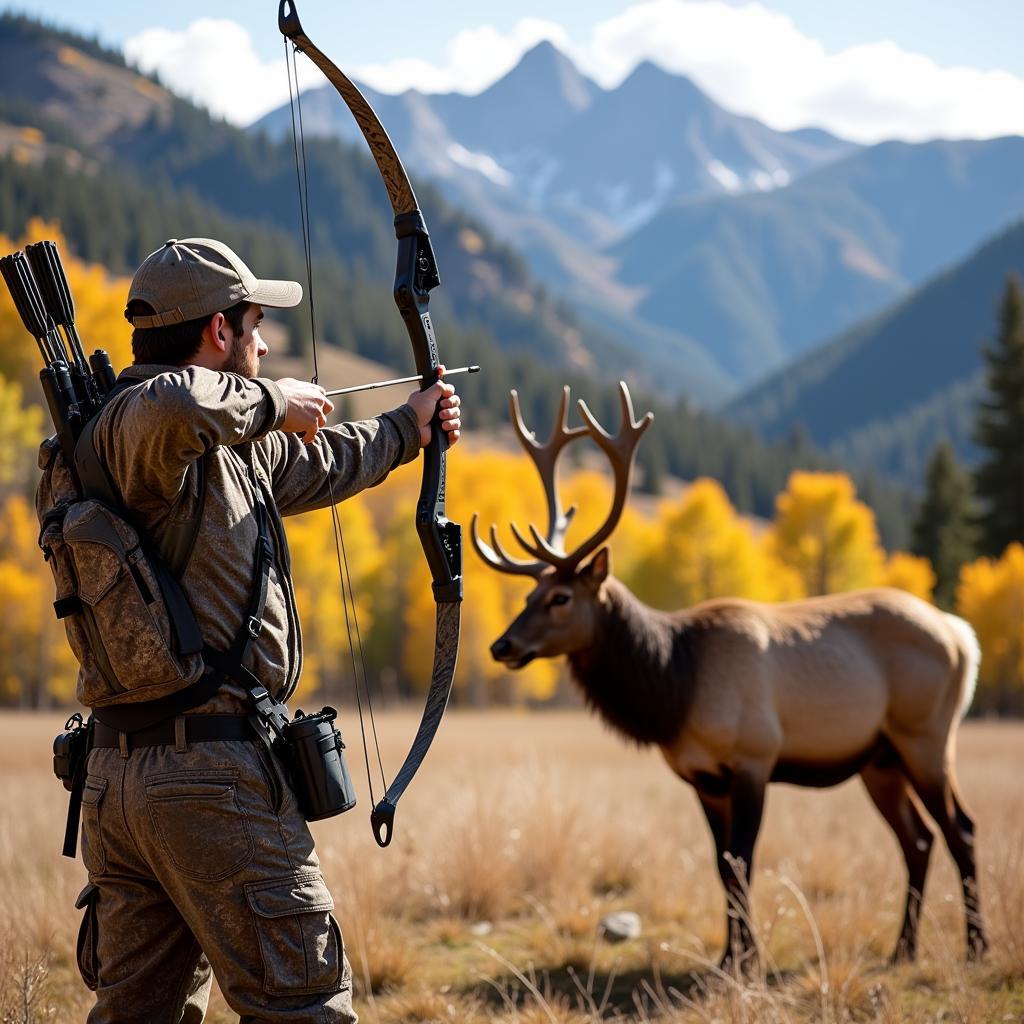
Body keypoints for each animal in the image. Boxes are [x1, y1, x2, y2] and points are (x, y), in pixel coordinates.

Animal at [471, 382, 983, 966]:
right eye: (527, 595)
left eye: (560, 597)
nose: (502, 644)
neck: (675, 689)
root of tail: (961, 636)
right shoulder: (702, 776)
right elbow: (721, 865)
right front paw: (727, 958)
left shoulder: (754, 757)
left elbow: (742, 862)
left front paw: (747, 961)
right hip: (879, 759)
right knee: (917, 839)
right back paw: (903, 949)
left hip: (926, 735)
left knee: (961, 829)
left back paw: (976, 946)